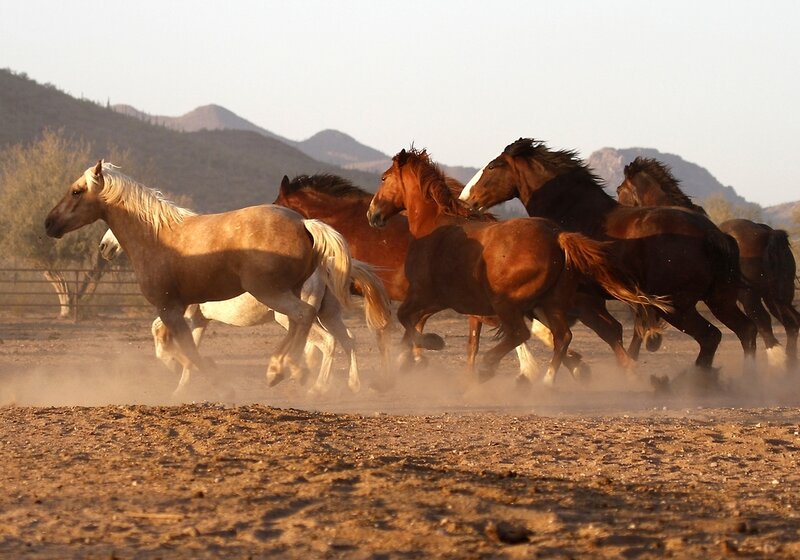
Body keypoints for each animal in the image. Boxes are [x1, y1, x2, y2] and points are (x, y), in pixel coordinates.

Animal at [45, 161, 358, 395]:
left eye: (76, 191)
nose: (49, 224)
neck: (155, 236)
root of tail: (305, 222)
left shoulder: (170, 308)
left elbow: (185, 351)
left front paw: (212, 381)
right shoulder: (188, 311)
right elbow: (185, 347)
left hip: (272, 293)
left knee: (306, 321)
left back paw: (289, 369)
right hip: (294, 299)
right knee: (317, 330)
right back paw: (283, 370)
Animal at [98, 229, 392, 394]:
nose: (105, 247)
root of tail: (324, 263)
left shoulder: (183, 312)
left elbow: (160, 331)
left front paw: (172, 365)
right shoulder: (200, 319)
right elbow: (191, 348)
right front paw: (183, 387)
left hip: (292, 316)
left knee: (328, 343)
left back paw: (316, 387)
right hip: (328, 313)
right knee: (348, 341)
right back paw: (351, 385)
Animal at [366, 148, 667, 385]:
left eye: (383, 178)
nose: (373, 214)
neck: (435, 225)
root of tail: (558, 236)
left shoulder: (424, 295)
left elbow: (408, 321)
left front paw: (430, 346)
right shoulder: (443, 301)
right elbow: (420, 328)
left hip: (509, 302)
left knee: (523, 333)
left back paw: (492, 368)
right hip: (551, 303)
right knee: (564, 336)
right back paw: (551, 382)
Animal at [461, 138, 758, 382]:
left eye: (493, 167)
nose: (465, 199)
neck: (572, 216)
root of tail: (714, 235)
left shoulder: (582, 300)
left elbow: (602, 332)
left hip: (678, 306)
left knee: (711, 336)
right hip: (719, 299)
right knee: (745, 331)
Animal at [617, 156, 799, 369]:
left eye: (619, 190)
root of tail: (769, 233)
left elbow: (640, 325)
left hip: (750, 298)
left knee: (764, 327)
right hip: (775, 297)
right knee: (791, 324)